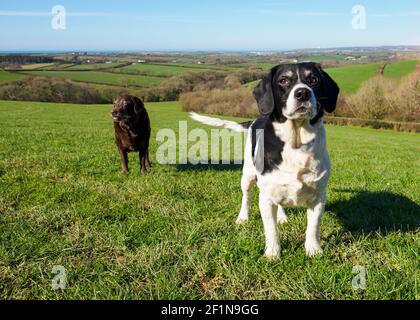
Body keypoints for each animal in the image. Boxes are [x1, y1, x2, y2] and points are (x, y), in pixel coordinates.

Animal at [189, 63, 338, 260]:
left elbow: (313, 228)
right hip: (247, 176)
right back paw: (243, 218)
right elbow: (271, 230)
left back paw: (282, 217)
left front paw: (313, 250)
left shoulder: (318, 196)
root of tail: (255, 120)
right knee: (246, 198)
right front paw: (272, 254)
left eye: (313, 79)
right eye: (283, 80)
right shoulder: (265, 198)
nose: (302, 93)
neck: (296, 142)